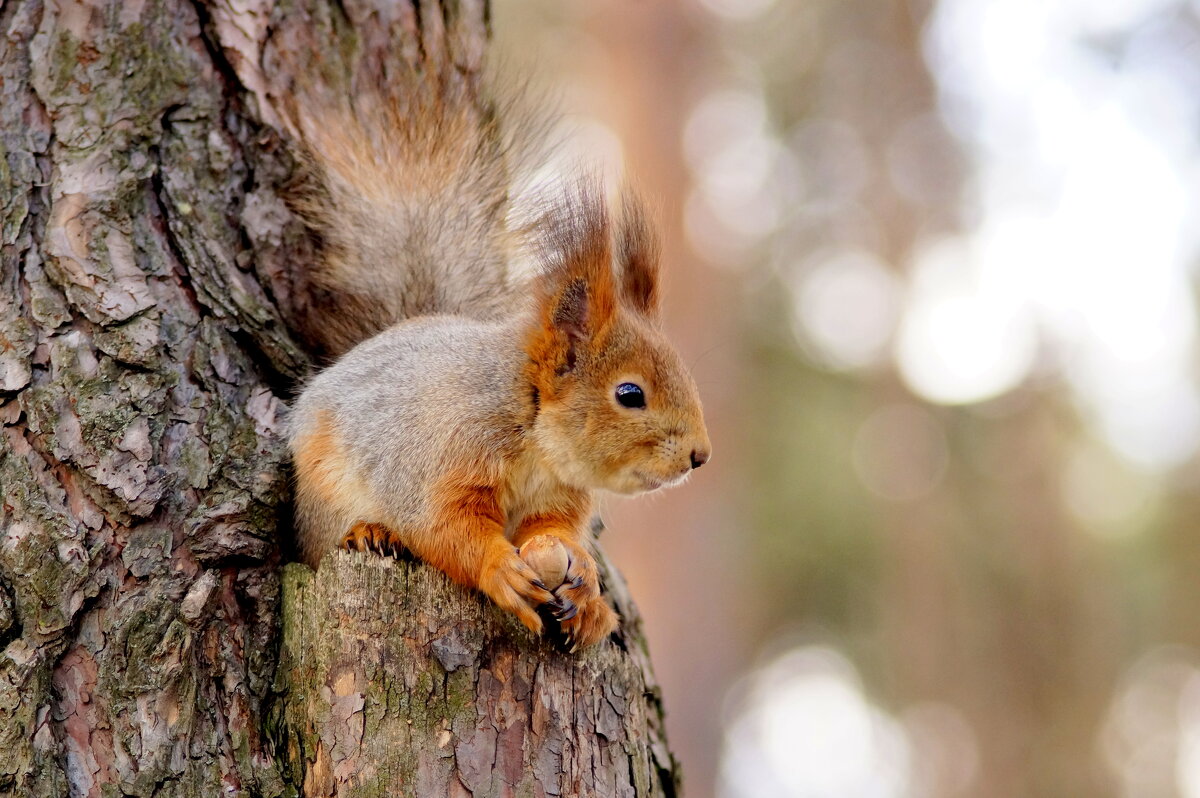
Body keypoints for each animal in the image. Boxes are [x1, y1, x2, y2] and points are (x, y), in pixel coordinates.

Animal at [280, 63, 710, 648]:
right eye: (630, 393)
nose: (700, 455)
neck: (535, 436)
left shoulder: (559, 500)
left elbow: (552, 531)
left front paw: (583, 579)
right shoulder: (443, 456)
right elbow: (442, 525)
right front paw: (499, 571)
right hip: (324, 494)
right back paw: (369, 532)